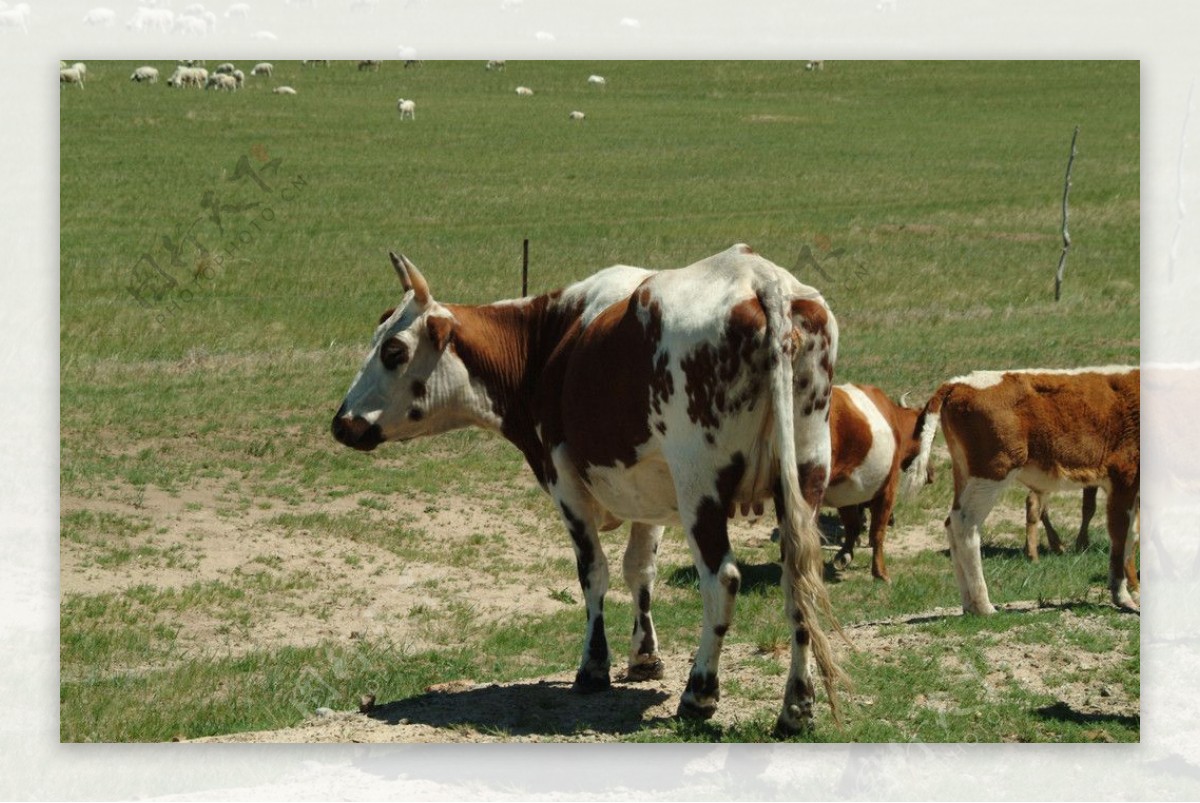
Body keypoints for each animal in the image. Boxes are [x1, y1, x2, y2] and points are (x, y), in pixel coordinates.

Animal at [333, 242, 849, 734]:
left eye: (394, 351)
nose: (342, 423)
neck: (547, 341)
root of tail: (758, 277)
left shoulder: (566, 483)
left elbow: (593, 573)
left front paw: (594, 666)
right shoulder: (648, 493)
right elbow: (639, 570)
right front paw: (644, 656)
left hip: (699, 486)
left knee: (721, 579)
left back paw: (700, 693)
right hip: (804, 476)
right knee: (798, 580)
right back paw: (796, 707)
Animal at [825, 384, 926, 578]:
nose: (930, 475)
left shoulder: (846, 489)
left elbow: (853, 525)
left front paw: (844, 555)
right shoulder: (887, 488)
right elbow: (878, 530)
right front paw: (880, 572)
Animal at [902, 369, 1137, 614]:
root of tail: (958, 383)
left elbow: (1132, 533)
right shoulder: (1124, 477)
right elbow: (1121, 535)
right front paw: (1124, 597)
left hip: (965, 473)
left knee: (952, 522)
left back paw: (970, 604)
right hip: (992, 474)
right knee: (966, 524)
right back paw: (984, 606)